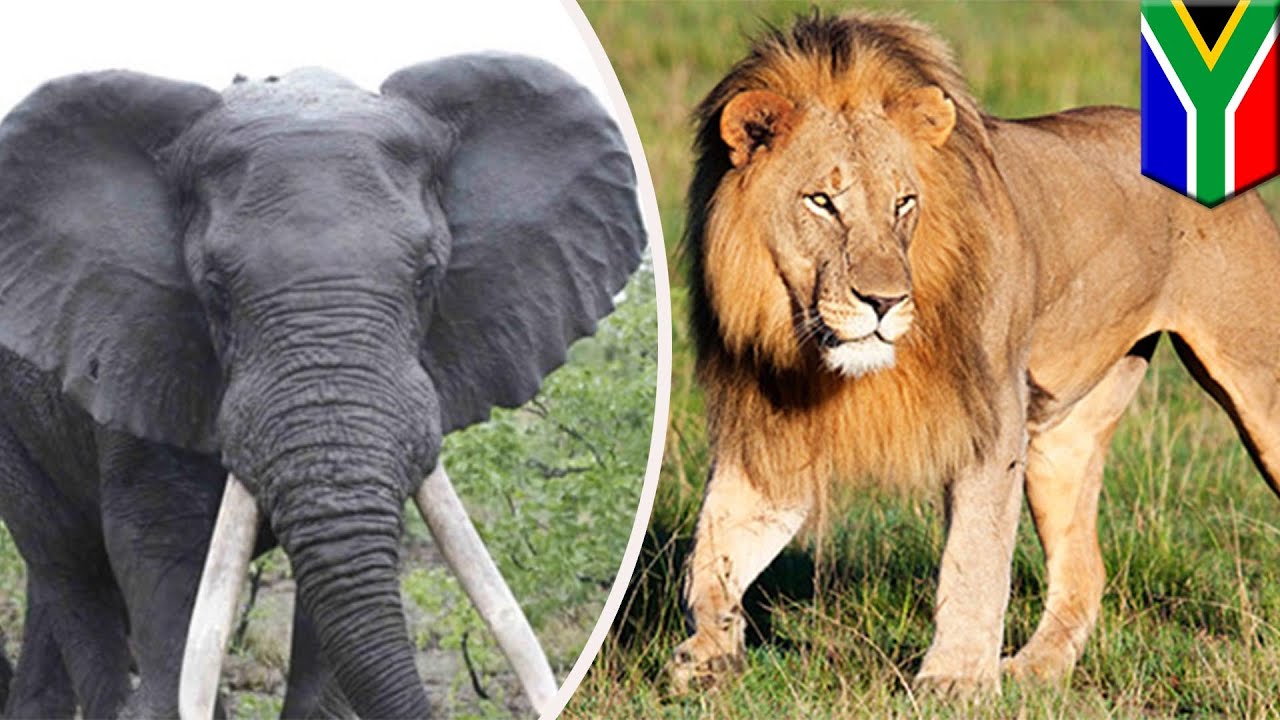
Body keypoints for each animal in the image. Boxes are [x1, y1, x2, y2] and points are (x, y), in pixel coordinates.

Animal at [669, 10, 1280, 697]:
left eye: (904, 203)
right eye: (822, 201)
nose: (884, 302)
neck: (802, 338)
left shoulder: (992, 415)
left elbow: (974, 557)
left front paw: (955, 679)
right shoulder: (773, 427)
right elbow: (715, 546)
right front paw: (710, 652)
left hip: (1258, 385)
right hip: (1064, 435)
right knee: (1084, 570)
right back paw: (1035, 672)